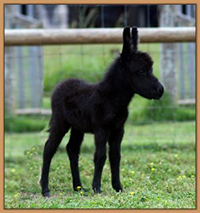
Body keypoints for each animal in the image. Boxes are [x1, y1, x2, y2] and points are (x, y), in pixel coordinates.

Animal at [40, 26, 164, 196]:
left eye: (151, 69)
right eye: (140, 71)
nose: (161, 90)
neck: (111, 99)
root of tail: (61, 84)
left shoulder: (118, 129)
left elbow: (115, 156)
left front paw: (118, 187)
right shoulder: (101, 129)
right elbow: (100, 156)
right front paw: (97, 188)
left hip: (77, 127)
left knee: (72, 149)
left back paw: (79, 187)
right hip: (60, 122)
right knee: (49, 148)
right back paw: (45, 189)